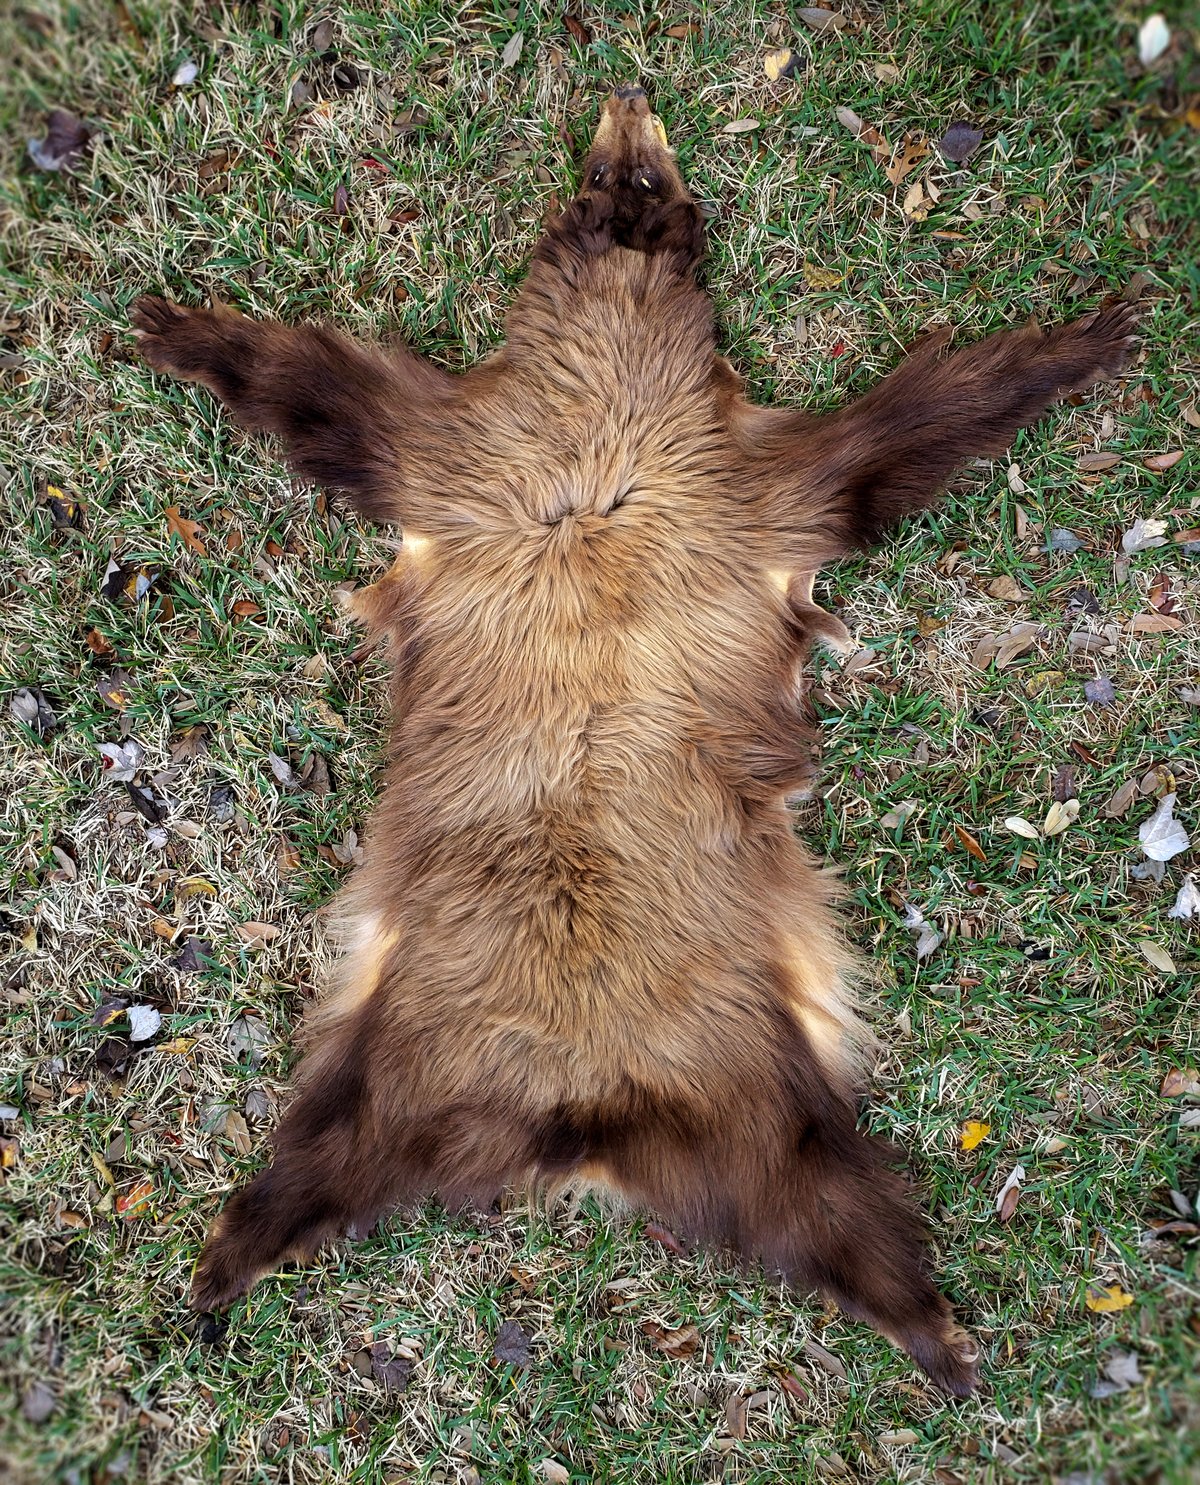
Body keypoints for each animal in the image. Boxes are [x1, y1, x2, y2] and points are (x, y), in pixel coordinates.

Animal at [132, 84, 1138, 1396]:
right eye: (618, 181)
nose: (625, 106)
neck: (604, 419)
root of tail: (579, 1119)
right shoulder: (467, 449)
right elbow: (311, 381)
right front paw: (178, 325)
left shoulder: (747, 478)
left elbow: (907, 424)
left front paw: (1079, 341)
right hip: (417, 1053)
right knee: (318, 1160)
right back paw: (229, 1261)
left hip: (737, 1081)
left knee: (826, 1205)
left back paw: (931, 1329)